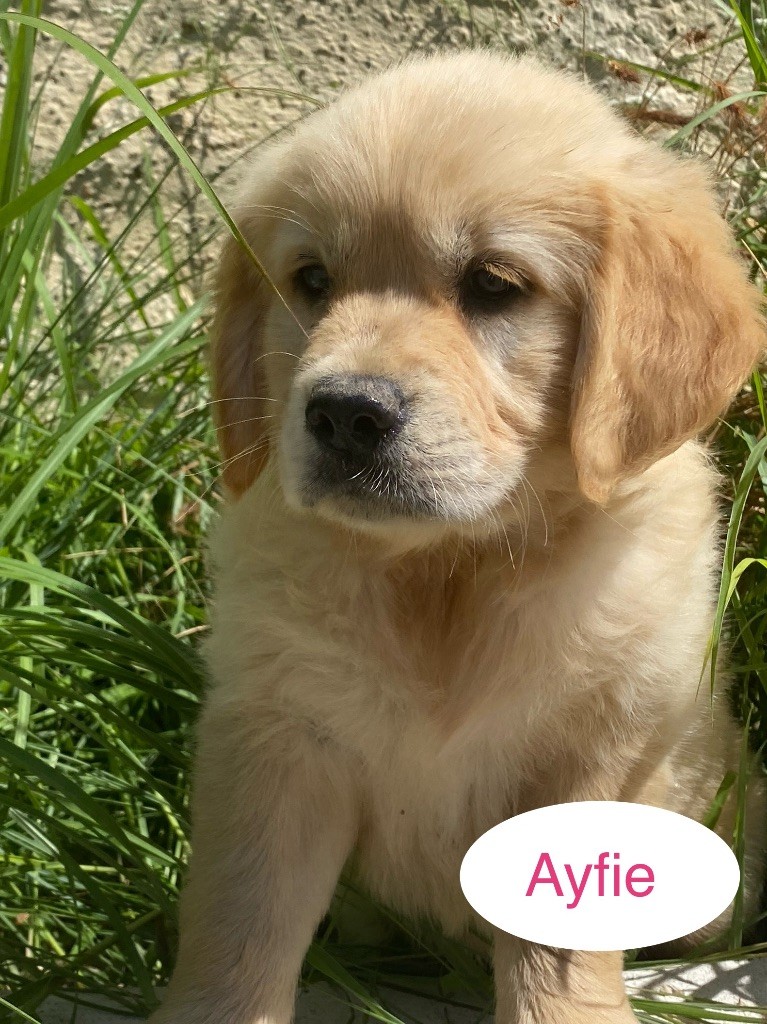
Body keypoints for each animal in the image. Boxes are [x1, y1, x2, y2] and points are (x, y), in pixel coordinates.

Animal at [150, 51, 767, 1024]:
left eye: (492, 285)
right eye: (312, 280)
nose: (344, 414)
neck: (447, 569)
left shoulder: (597, 744)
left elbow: (558, 953)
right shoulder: (274, 737)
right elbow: (238, 924)